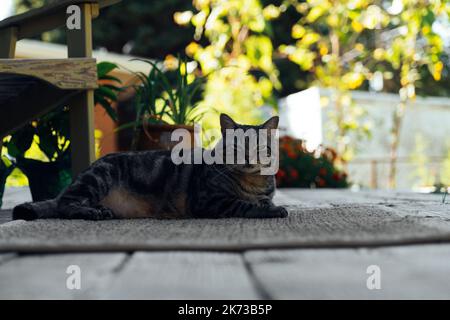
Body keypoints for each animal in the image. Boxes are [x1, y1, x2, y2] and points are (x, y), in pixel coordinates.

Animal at [14, 114, 290, 221]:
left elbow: (260, 201)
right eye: (237, 146)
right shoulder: (210, 200)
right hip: (98, 177)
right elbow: (245, 205)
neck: (253, 182)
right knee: (65, 205)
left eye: (259, 146)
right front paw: (274, 210)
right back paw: (94, 213)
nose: (248, 159)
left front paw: (268, 204)